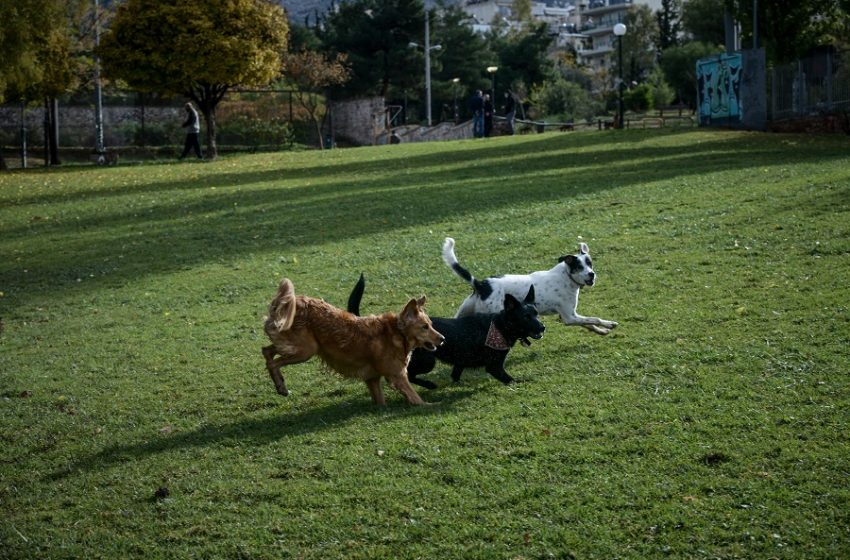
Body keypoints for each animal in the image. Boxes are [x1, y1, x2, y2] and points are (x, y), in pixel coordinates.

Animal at [260, 278, 444, 404]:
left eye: (431, 324)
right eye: (425, 327)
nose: (442, 339)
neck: (397, 333)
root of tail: (291, 301)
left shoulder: (372, 379)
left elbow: (381, 402)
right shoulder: (397, 376)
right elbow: (416, 398)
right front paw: (430, 405)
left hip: (296, 345)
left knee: (267, 351)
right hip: (306, 349)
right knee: (273, 362)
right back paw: (281, 386)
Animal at [348, 276, 548, 390]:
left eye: (536, 313)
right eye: (526, 317)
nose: (542, 327)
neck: (500, 325)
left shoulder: (460, 361)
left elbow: (456, 375)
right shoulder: (495, 367)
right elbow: (510, 379)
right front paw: (523, 382)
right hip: (427, 361)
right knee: (407, 374)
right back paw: (430, 385)